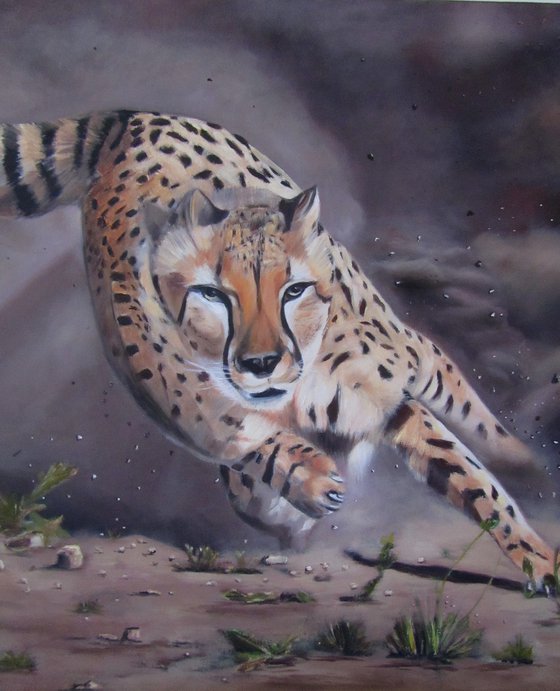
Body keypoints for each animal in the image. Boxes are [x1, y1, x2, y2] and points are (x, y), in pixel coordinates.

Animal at [0, 110, 557, 588]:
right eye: (212, 295)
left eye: (293, 291)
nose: (262, 363)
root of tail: (136, 119)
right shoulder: (193, 405)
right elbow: (246, 443)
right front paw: (307, 483)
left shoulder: (391, 395)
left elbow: (475, 478)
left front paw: (539, 556)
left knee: (448, 378)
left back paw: (522, 457)